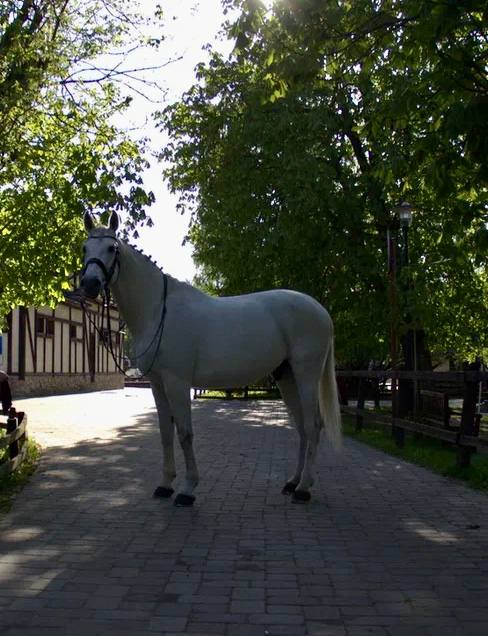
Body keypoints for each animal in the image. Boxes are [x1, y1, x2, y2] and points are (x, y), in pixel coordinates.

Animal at [80, 211, 341, 506]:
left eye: (112, 248)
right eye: (84, 248)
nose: (89, 284)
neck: (158, 311)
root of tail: (321, 311)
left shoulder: (177, 383)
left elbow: (185, 434)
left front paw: (187, 489)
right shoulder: (158, 385)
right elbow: (165, 433)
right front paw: (165, 485)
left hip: (306, 375)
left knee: (313, 425)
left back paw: (304, 489)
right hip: (287, 377)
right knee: (301, 427)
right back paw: (293, 482)